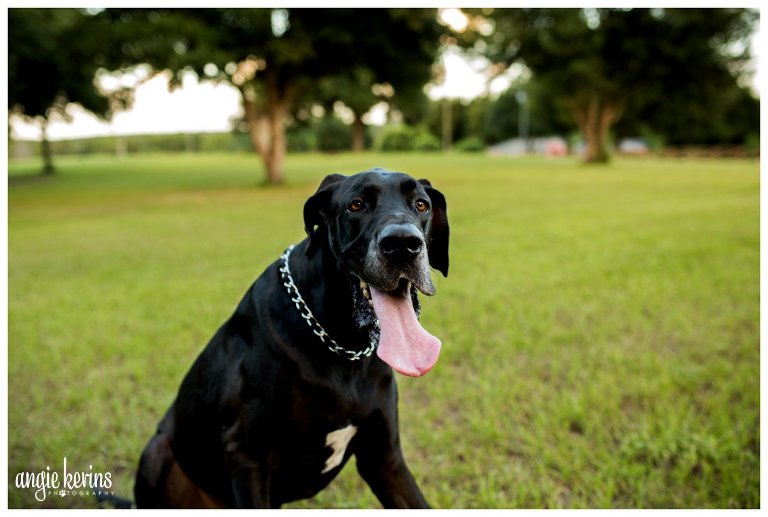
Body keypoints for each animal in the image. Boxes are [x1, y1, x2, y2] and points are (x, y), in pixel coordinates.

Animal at [135, 167, 450, 506]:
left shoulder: (384, 458)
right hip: (157, 452)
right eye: (356, 205)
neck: (344, 348)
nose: (403, 244)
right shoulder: (248, 456)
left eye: (421, 205)